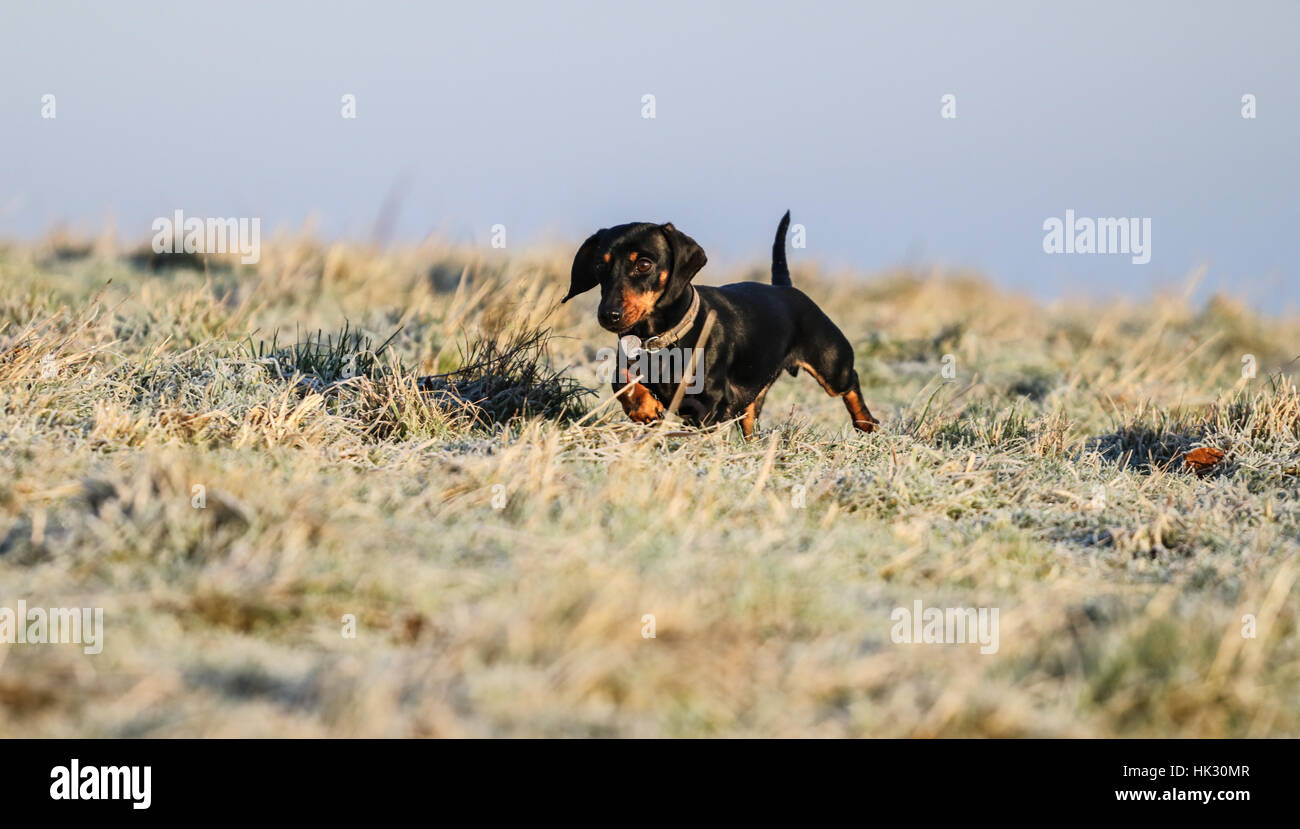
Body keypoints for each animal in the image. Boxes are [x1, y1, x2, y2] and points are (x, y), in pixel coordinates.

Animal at [564, 210, 878, 439]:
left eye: (643, 264)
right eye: (600, 265)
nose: (609, 315)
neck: (663, 340)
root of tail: (784, 287)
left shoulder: (711, 402)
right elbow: (622, 381)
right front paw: (644, 408)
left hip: (832, 366)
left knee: (851, 382)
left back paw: (867, 423)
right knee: (750, 418)